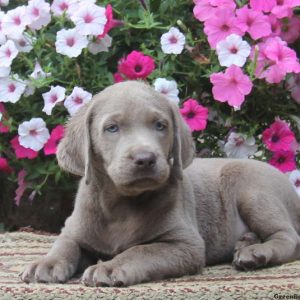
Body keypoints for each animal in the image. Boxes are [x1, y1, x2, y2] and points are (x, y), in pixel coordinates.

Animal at [21, 81, 300, 288]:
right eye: (112, 128)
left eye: (160, 125)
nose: (145, 158)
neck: (121, 205)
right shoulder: (75, 226)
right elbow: (65, 243)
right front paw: (45, 263)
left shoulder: (186, 245)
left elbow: (141, 251)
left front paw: (110, 267)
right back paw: (246, 242)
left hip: (252, 190)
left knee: (289, 237)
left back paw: (255, 253)